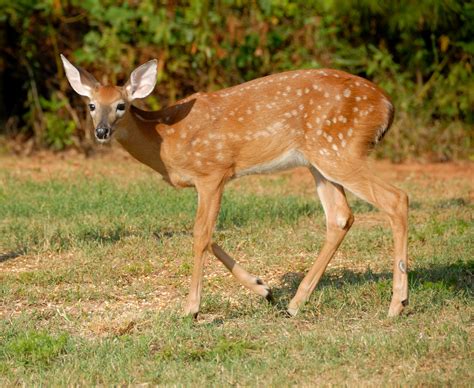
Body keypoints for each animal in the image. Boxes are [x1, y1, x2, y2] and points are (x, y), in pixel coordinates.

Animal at [60, 53, 408, 318]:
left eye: (122, 105)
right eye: (92, 105)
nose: (102, 131)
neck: (165, 139)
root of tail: (388, 106)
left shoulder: (213, 171)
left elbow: (200, 235)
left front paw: (191, 309)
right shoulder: (205, 182)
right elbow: (205, 233)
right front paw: (263, 288)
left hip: (339, 148)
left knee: (396, 198)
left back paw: (397, 304)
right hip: (319, 161)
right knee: (340, 217)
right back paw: (296, 303)